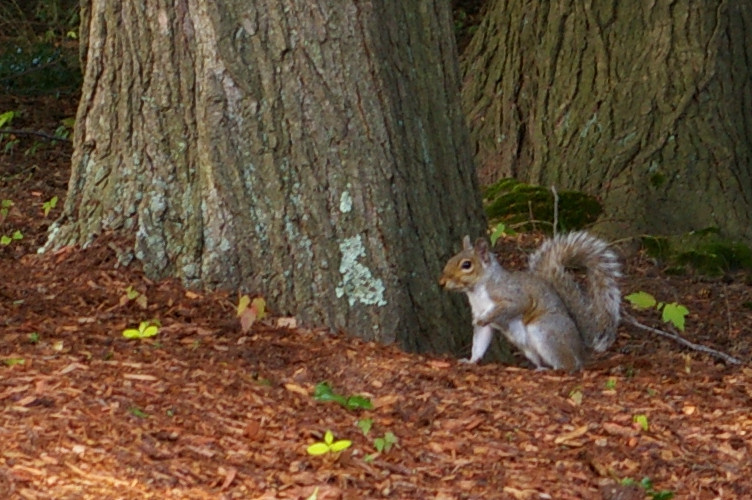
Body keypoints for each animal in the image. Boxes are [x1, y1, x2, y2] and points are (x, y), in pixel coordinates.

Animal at [439, 231, 621, 371]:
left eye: (466, 265)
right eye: (450, 259)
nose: (442, 282)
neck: (477, 291)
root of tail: (581, 348)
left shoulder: (515, 296)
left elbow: (512, 307)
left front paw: (487, 317)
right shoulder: (479, 314)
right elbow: (480, 341)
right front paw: (471, 360)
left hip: (544, 330)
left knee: (570, 364)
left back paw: (555, 370)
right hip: (527, 347)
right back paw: (540, 367)